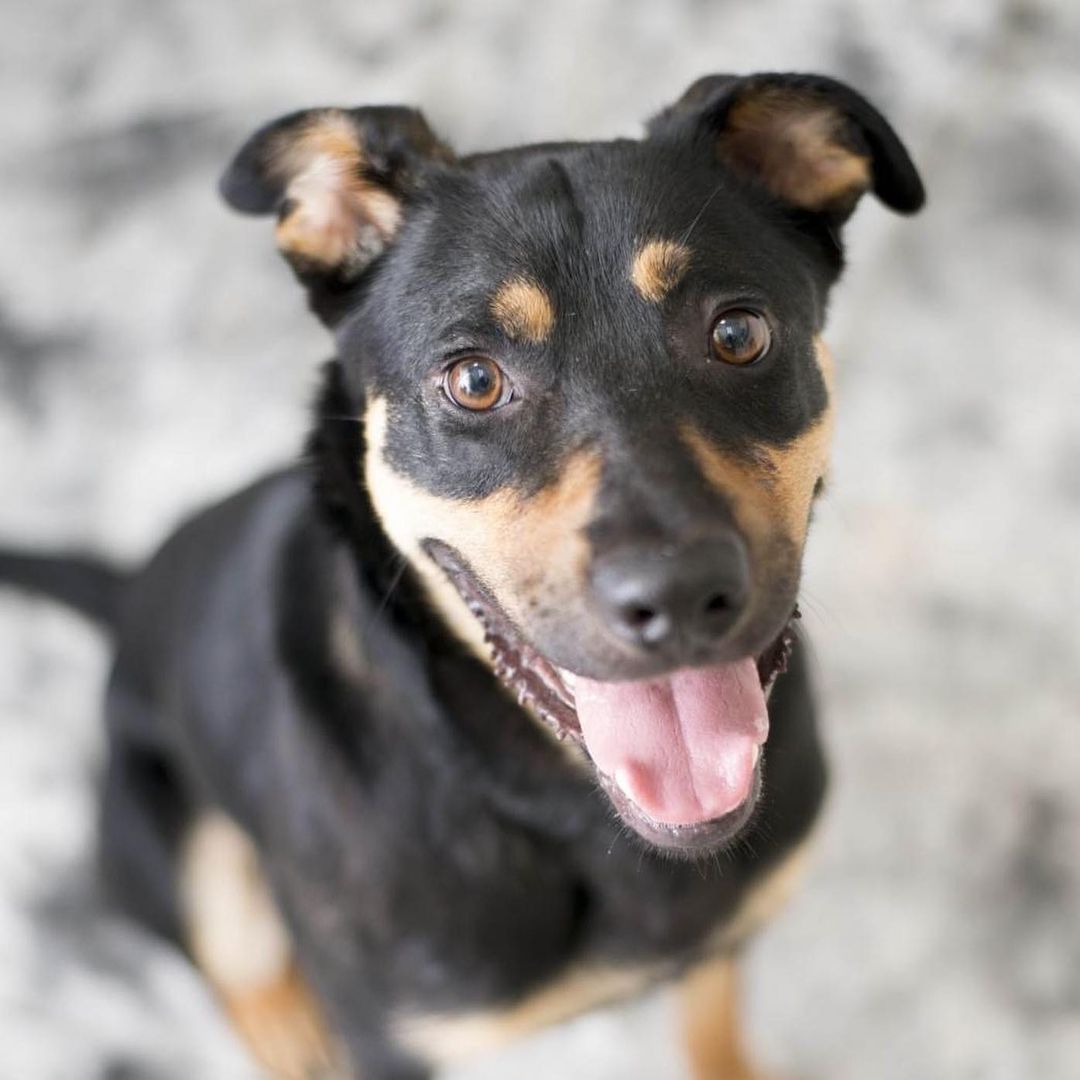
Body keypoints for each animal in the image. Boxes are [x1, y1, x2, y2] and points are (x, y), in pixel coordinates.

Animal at [0, 71, 924, 1075]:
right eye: (475, 381)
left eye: (740, 331)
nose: (679, 594)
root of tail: (130, 589)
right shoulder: (393, 1034)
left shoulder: (724, 935)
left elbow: (711, 1027)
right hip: (168, 844)